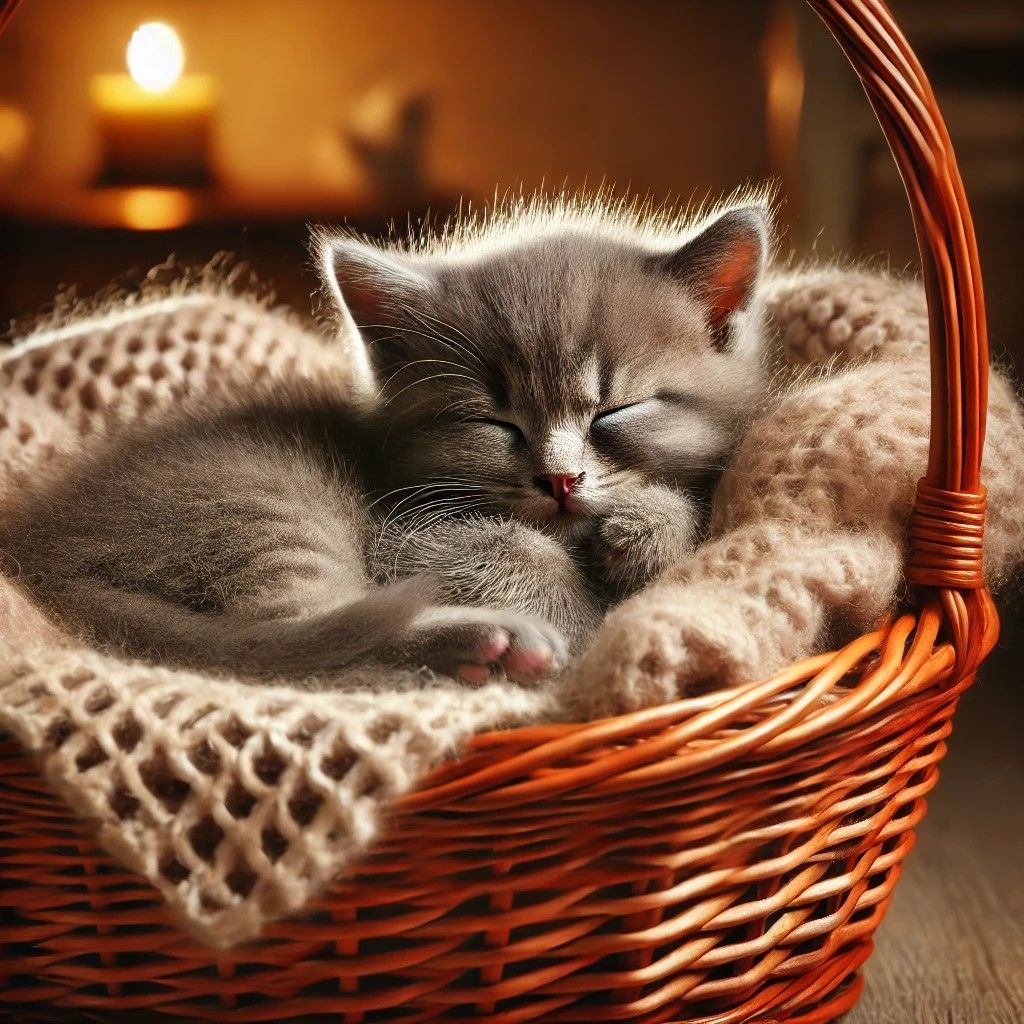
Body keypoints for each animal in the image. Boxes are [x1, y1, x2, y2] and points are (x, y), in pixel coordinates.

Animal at [0, 195, 770, 684]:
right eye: (494, 423)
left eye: (615, 411)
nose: (559, 480)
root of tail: (39, 555)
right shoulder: (399, 533)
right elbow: (506, 550)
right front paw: (581, 618)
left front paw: (648, 528)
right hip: (266, 504)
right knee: (305, 640)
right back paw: (489, 642)